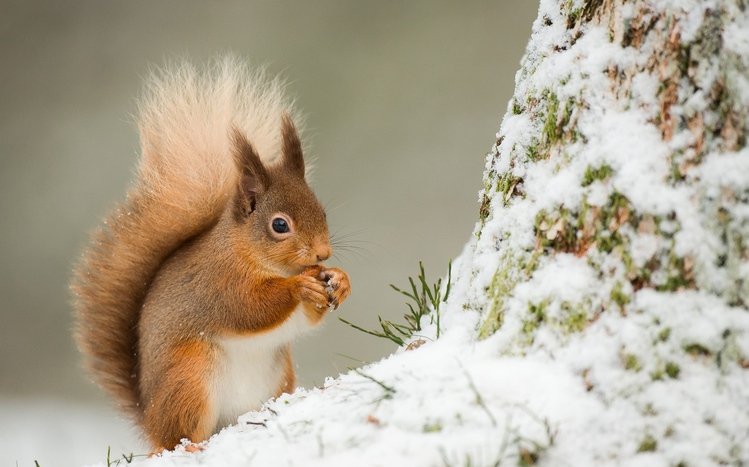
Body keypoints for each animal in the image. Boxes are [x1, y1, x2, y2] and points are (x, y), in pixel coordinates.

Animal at [71, 57, 351, 452]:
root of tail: (150, 419)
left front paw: (340, 280)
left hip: (277, 375)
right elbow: (248, 308)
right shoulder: (218, 281)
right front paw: (300, 286)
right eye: (280, 225)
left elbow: (306, 319)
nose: (323, 253)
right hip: (190, 377)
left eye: (322, 211)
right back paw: (191, 445)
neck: (252, 254)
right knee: (176, 436)